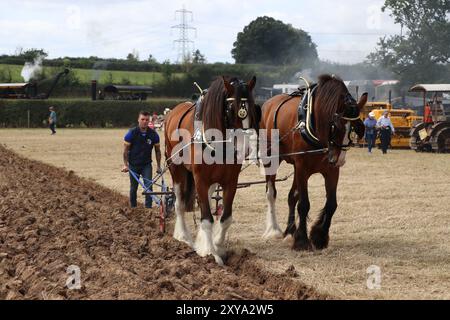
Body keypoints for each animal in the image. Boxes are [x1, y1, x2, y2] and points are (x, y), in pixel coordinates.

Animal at [165, 75, 258, 264]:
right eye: (231, 109)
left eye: (252, 108)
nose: (244, 148)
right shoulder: (200, 179)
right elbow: (207, 218)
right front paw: (211, 254)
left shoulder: (230, 181)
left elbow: (225, 218)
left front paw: (217, 247)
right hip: (176, 169)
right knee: (179, 203)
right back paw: (183, 237)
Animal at [260, 74, 366, 250]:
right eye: (335, 126)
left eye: (355, 127)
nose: (340, 160)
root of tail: (268, 103)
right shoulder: (302, 168)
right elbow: (303, 204)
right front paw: (302, 240)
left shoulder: (331, 170)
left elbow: (331, 204)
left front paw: (319, 236)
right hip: (271, 158)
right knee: (271, 193)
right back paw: (274, 229)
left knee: (291, 197)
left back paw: (290, 231)